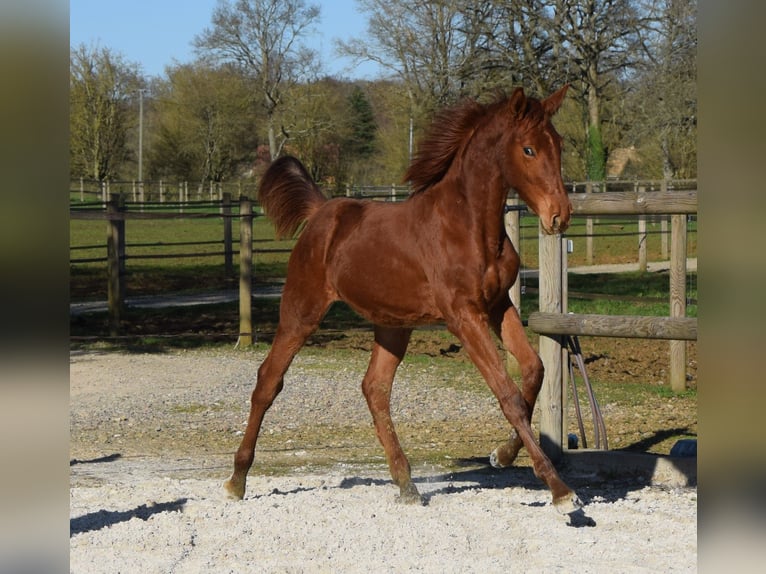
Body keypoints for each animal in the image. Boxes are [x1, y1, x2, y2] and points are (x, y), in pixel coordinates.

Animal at [224, 86, 581, 513]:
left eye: (558, 145)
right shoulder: (463, 315)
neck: (469, 225)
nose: (560, 216)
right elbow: (506, 393)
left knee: (374, 388)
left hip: (393, 325)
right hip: (301, 311)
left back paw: (406, 483)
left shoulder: (497, 306)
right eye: (528, 149)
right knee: (269, 380)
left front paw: (502, 454)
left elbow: (533, 371)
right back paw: (237, 480)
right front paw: (560, 490)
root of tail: (322, 211)